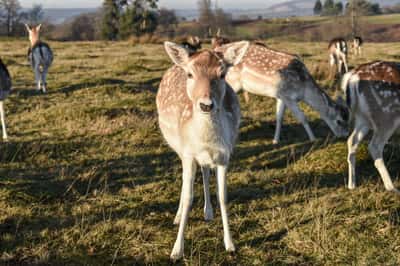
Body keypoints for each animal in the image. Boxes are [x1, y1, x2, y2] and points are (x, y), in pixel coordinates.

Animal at [156, 41, 250, 260]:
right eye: (190, 74)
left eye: (222, 74)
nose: (206, 105)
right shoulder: (188, 154)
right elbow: (188, 197)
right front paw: (176, 251)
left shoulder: (224, 156)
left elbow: (223, 197)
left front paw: (230, 244)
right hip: (179, 149)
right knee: (186, 183)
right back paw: (178, 216)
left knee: (206, 171)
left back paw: (208, 212)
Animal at [214, 41, 348, 143]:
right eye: (339, 121)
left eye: (347, 118)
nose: (344, 136)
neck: (304, 90)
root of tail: (215, 49)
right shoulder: (288, 96)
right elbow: (302, 118)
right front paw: (313, 139)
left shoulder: (281, 96)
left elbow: (279, 118)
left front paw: (275, 141)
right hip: (232, 83)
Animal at [340, 60, 400, 193]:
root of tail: (352, 76)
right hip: (386, 116)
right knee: (374, 146)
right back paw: (392, 188)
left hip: (362, 118)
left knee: (351, 140)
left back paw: (352, 184)